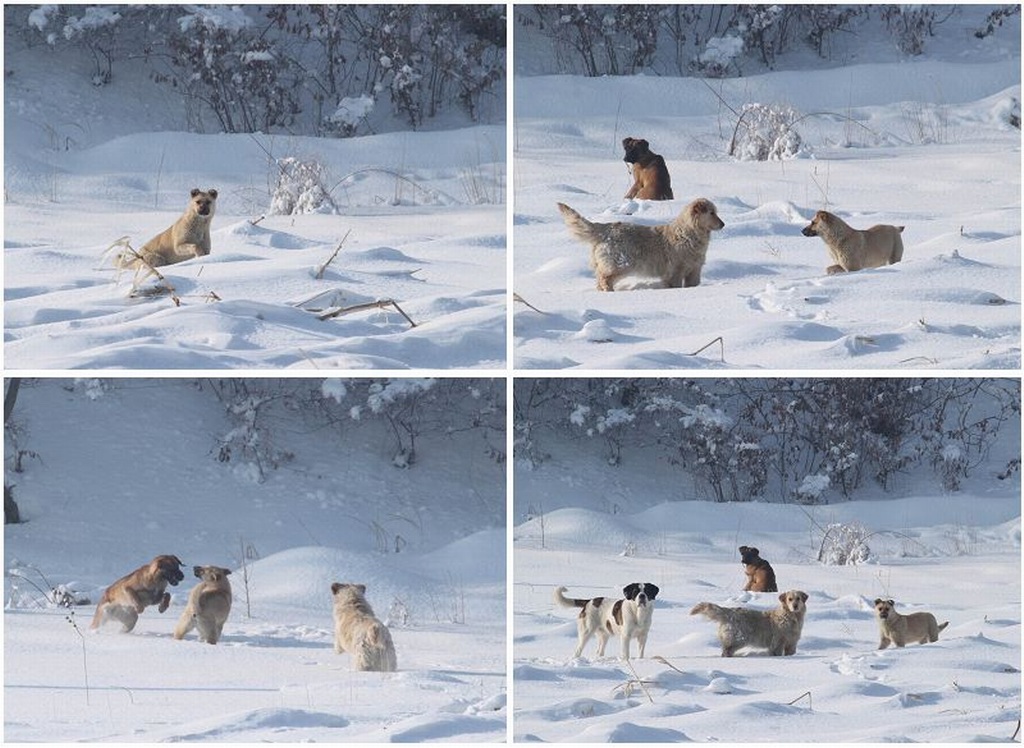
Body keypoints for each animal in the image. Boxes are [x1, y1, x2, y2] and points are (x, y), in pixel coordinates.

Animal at [557, 196, 724, 288]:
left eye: (716, 212)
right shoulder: (675, 272)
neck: (690, 234)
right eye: (711, 213)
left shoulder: (694, 271)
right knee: (604, 279)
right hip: (620, 265)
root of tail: (605, 228)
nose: (723, 224)